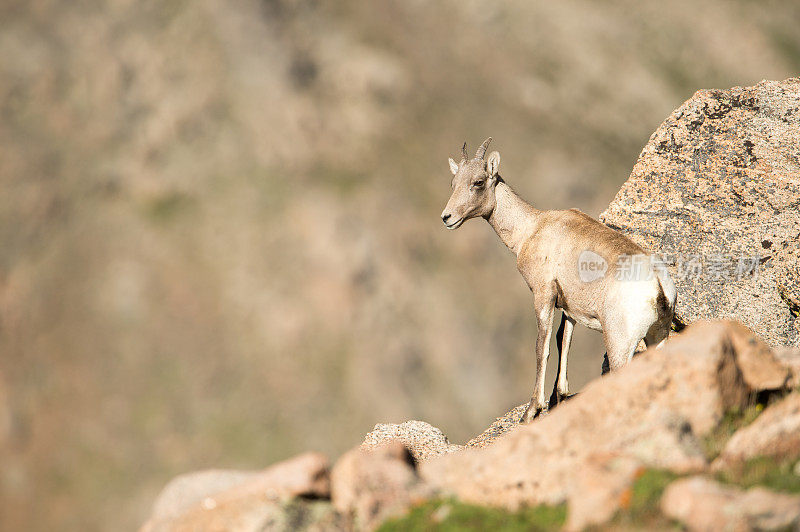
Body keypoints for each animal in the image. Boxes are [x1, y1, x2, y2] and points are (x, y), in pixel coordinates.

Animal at [444, 138, 676, 424]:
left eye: (478, 181)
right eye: (454, 182)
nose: (447, 217)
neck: (532, 228)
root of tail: (658, 285)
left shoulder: (543, 295)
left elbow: (541, 347)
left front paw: (531, 411)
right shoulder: (568, 307)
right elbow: (562, 340)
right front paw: (560, 397)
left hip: (620, 346)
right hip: (657, 337)